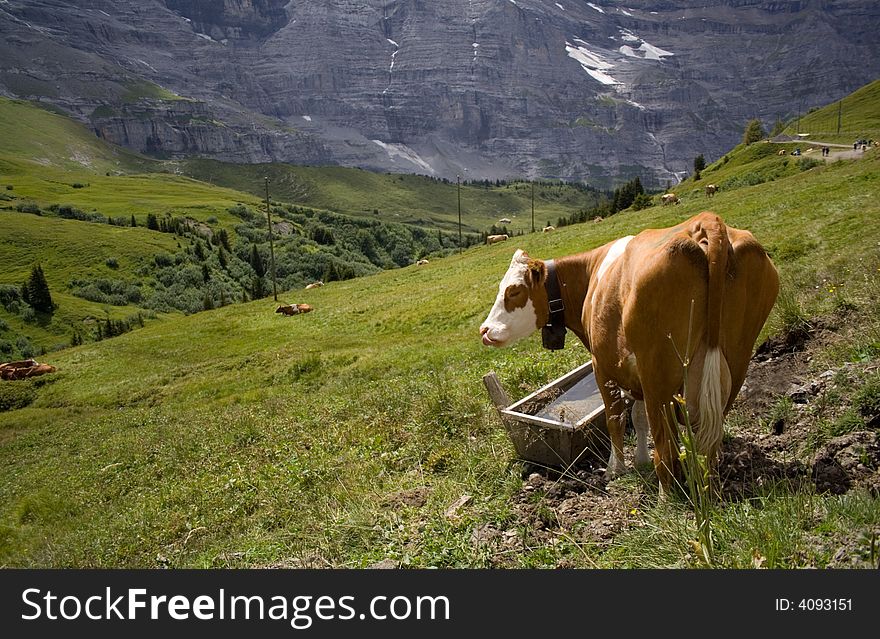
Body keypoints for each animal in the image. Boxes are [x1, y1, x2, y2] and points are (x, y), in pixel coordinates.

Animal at [482, 212, 776, 488]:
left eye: (514, 291)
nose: (484, 330)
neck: (590, 275)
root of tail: (705, 222)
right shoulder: (633, 370)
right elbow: (637, 416)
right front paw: (640, 460)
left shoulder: (602, 365)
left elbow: (616, 418)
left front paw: (616, 469)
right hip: (735, 360)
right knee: (710, 441)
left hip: (658, 373)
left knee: (666, 450)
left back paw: (666, 498)